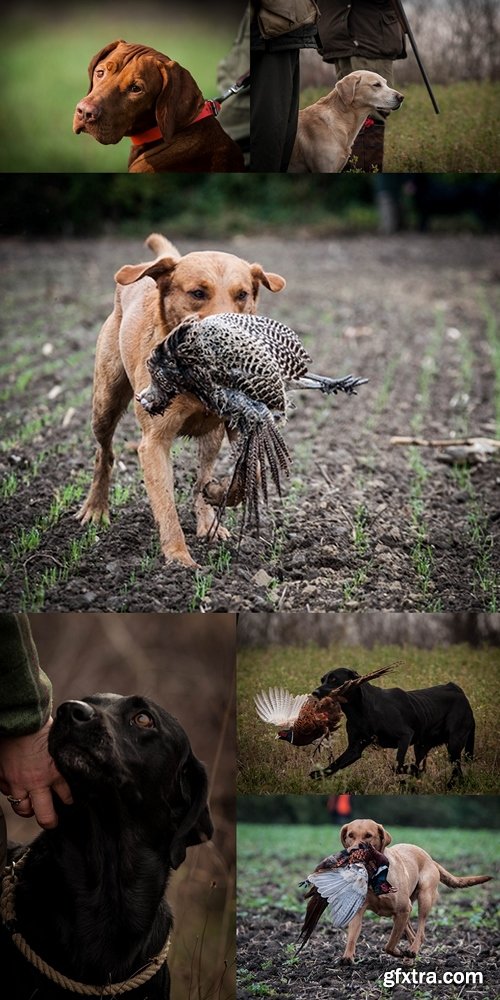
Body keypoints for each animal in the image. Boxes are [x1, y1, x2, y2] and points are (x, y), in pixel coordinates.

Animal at [78, 229, 286, 568]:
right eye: (198, 293)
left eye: (242, 294)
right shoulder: (154, 442)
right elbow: (165, 502)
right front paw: (178, 559)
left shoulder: (238, 424)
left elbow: (247, 475)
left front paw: (216, 494)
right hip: (105, 403)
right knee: (103, 454)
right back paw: (96, 507)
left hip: (211, 436)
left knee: (203, 473)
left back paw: (208, 516)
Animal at [308, 668, 476, 784]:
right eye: (323, 680)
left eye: (334, 679)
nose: (314, 692)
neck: (359, 710)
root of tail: (458, 690)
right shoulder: (354, 748)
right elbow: (336, 764)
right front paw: (318, 774)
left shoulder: (405, 736)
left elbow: (397, 765)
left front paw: (409, 770)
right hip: (421, 746)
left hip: (454, 743)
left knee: (457, 770)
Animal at [338, 820, 490, 960]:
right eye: (350, 835)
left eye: (368, 835)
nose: (354, 851)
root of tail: (431, 859)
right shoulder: (359, 910)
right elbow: (352, 936)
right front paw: (347, 957)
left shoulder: (403, 909)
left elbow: (390, 944)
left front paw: (397, 952)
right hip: (406, 907)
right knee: (410, 932)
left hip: (424, 897)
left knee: (420, 931)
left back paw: (413, 950)